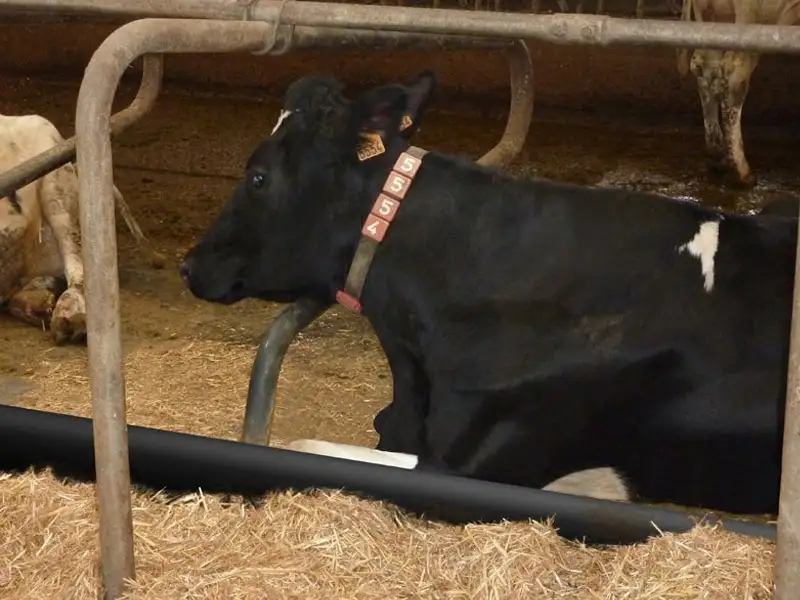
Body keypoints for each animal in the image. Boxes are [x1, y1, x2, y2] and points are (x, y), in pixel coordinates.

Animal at [677, 0, 800, 187]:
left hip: (713, 21)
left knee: (704, 66)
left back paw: (717, 153)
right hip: (756, 17)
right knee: (734, 76)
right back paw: (742, 171)